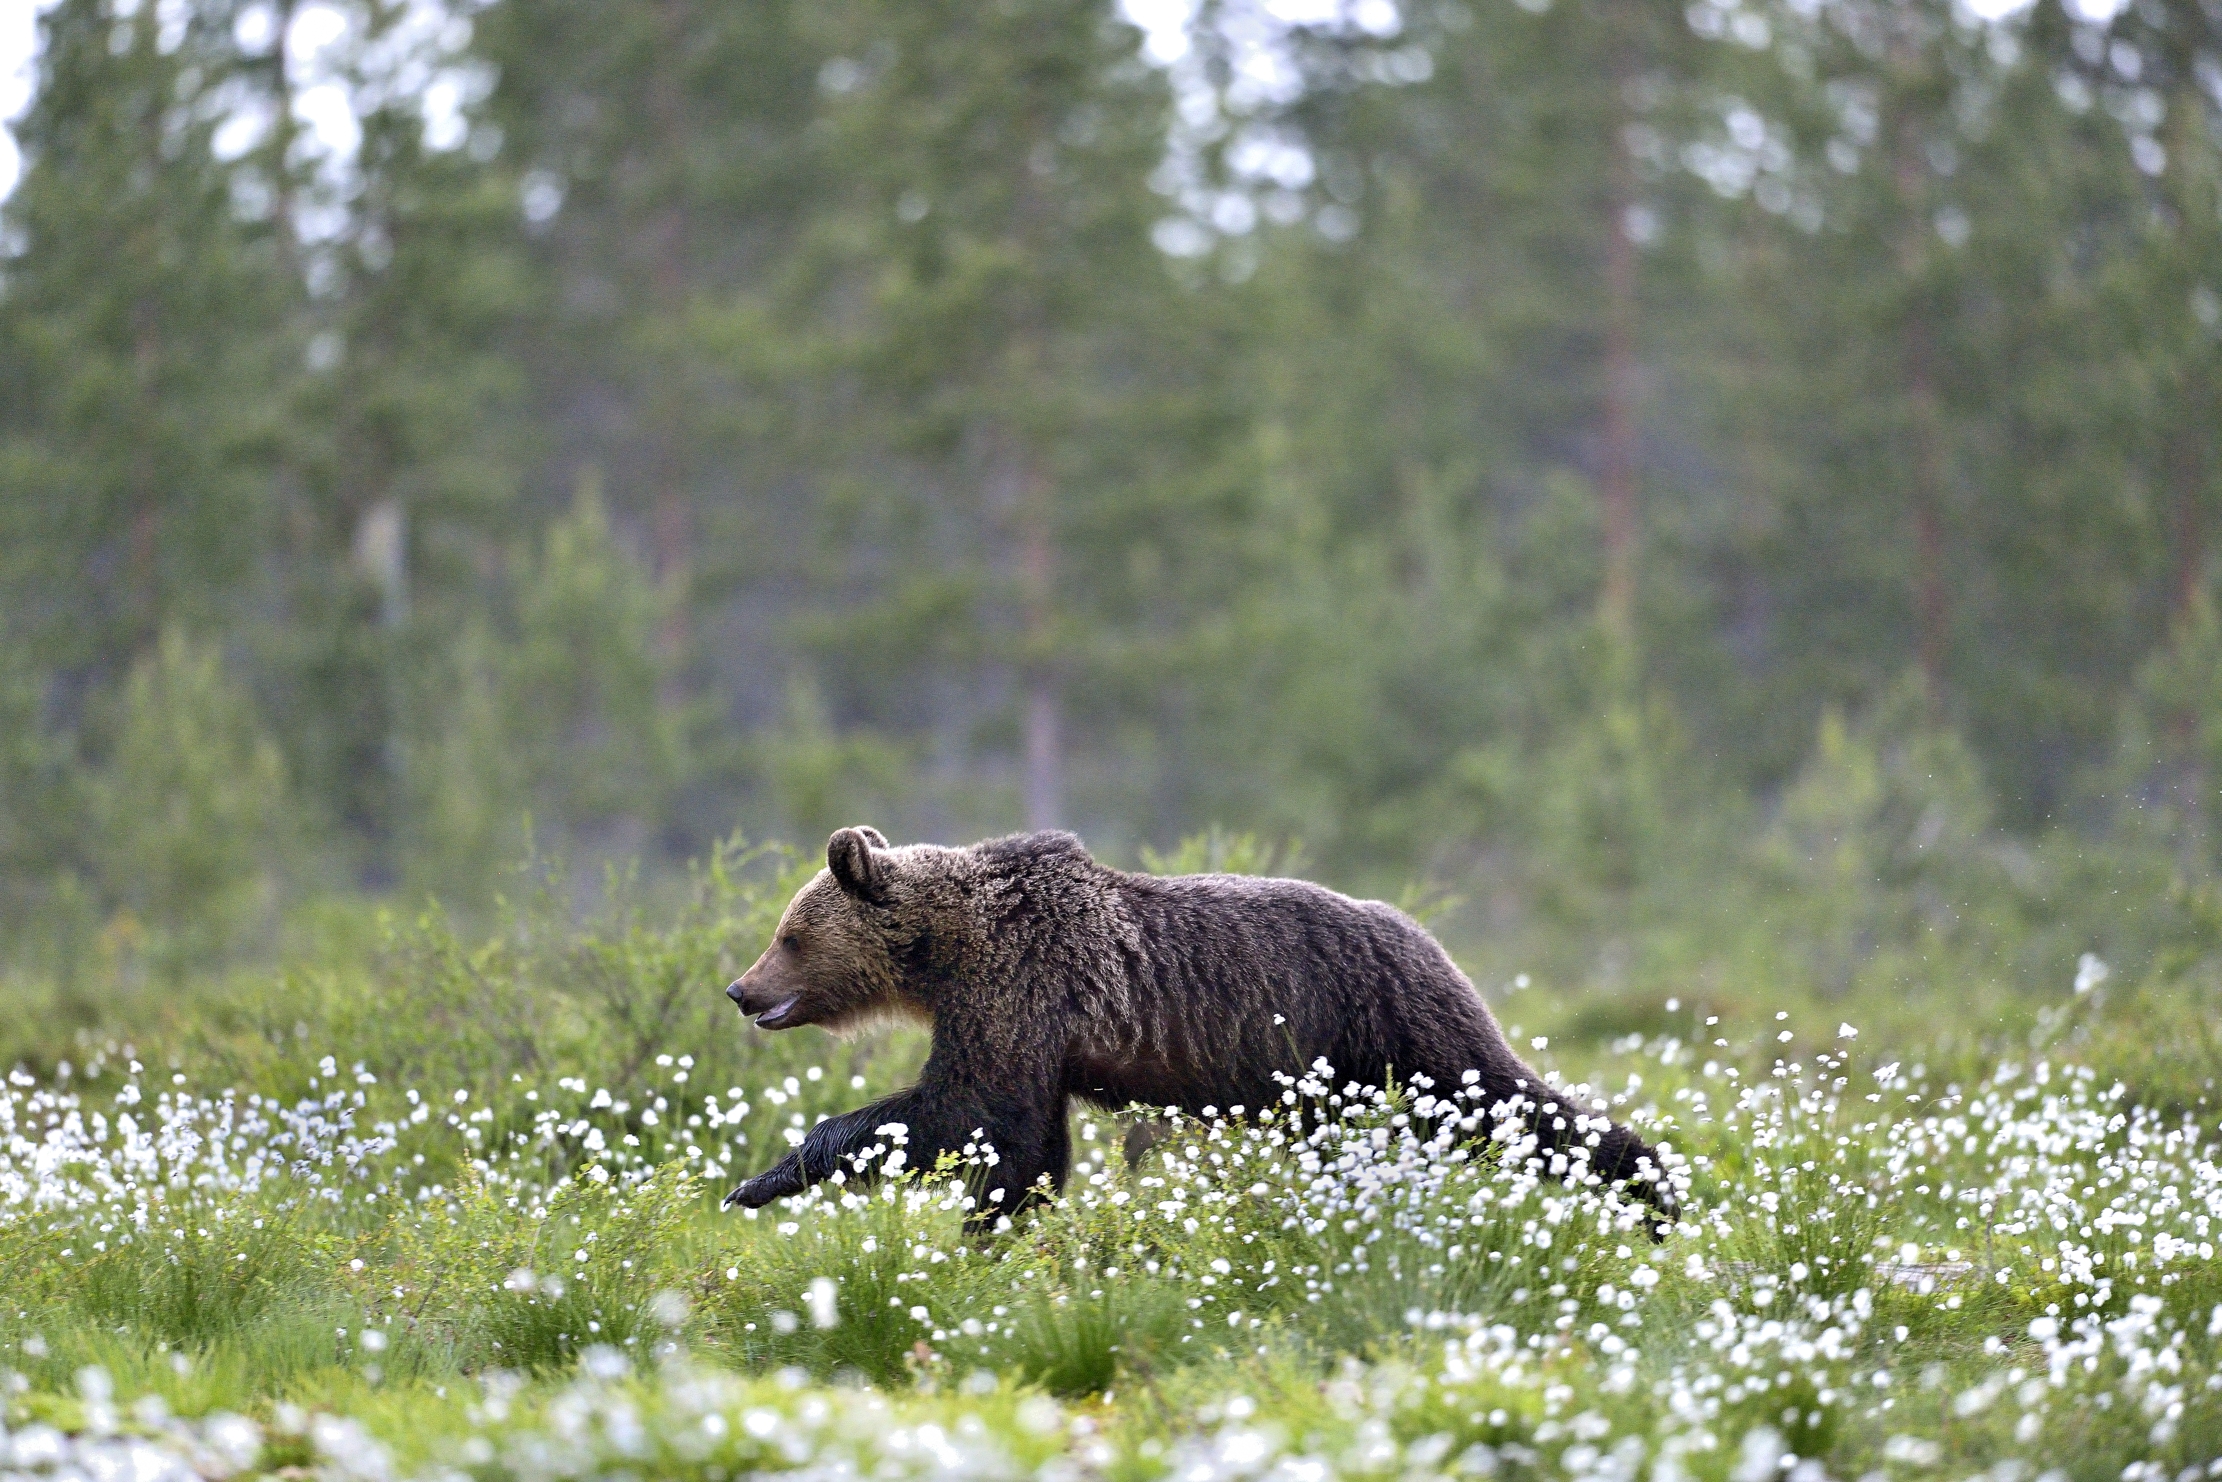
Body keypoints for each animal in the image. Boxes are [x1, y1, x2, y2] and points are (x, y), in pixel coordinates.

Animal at [723, 827, 1676, 1232]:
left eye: (789, 933)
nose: (739, 988)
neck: (945, 948)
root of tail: (1426, 935)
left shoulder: (1017, 992)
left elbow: (972, 1113)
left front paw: (761, 1179)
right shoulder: (1031, 1024)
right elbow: (1026, 1143)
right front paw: (1002, 1230)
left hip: (1397, 1024)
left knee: (1505, 1101)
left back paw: (1654, 1189)